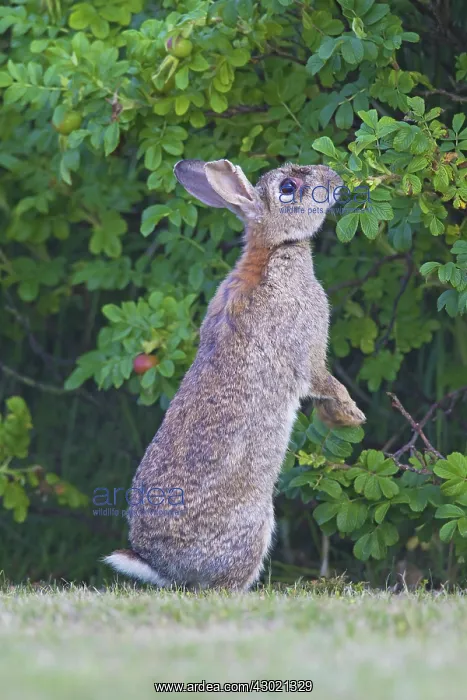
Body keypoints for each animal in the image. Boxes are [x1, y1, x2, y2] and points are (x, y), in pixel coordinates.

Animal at [104, 159, 366, 591]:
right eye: (289, 187)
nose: (334, 178)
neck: (275, 247)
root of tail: (162, 566)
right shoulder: (309, 352)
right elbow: (323, 380)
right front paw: (352, 414)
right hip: (255, 525)